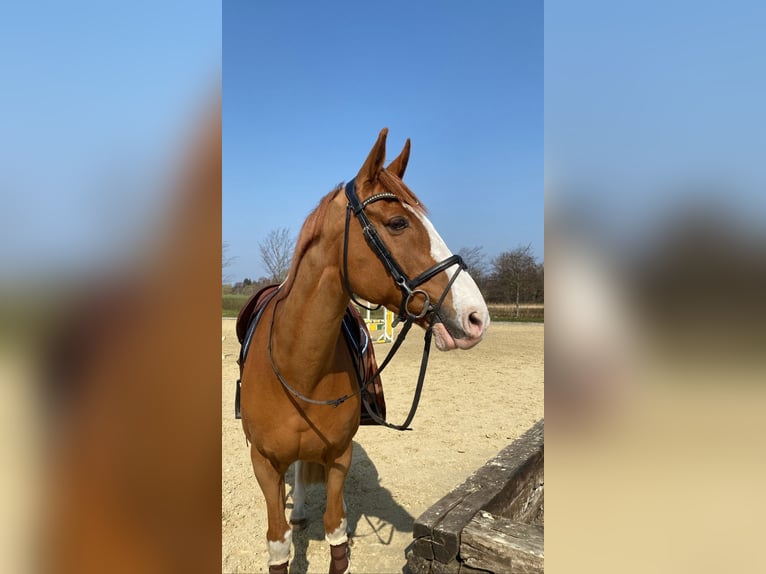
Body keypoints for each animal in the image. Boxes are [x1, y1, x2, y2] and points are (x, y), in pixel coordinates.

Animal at [239, 128, 489, 574]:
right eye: (397, 222)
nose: (477, 316)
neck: (298, 366)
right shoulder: (264, 465)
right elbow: (278, 544)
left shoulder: (340, 456)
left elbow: (336, 534)